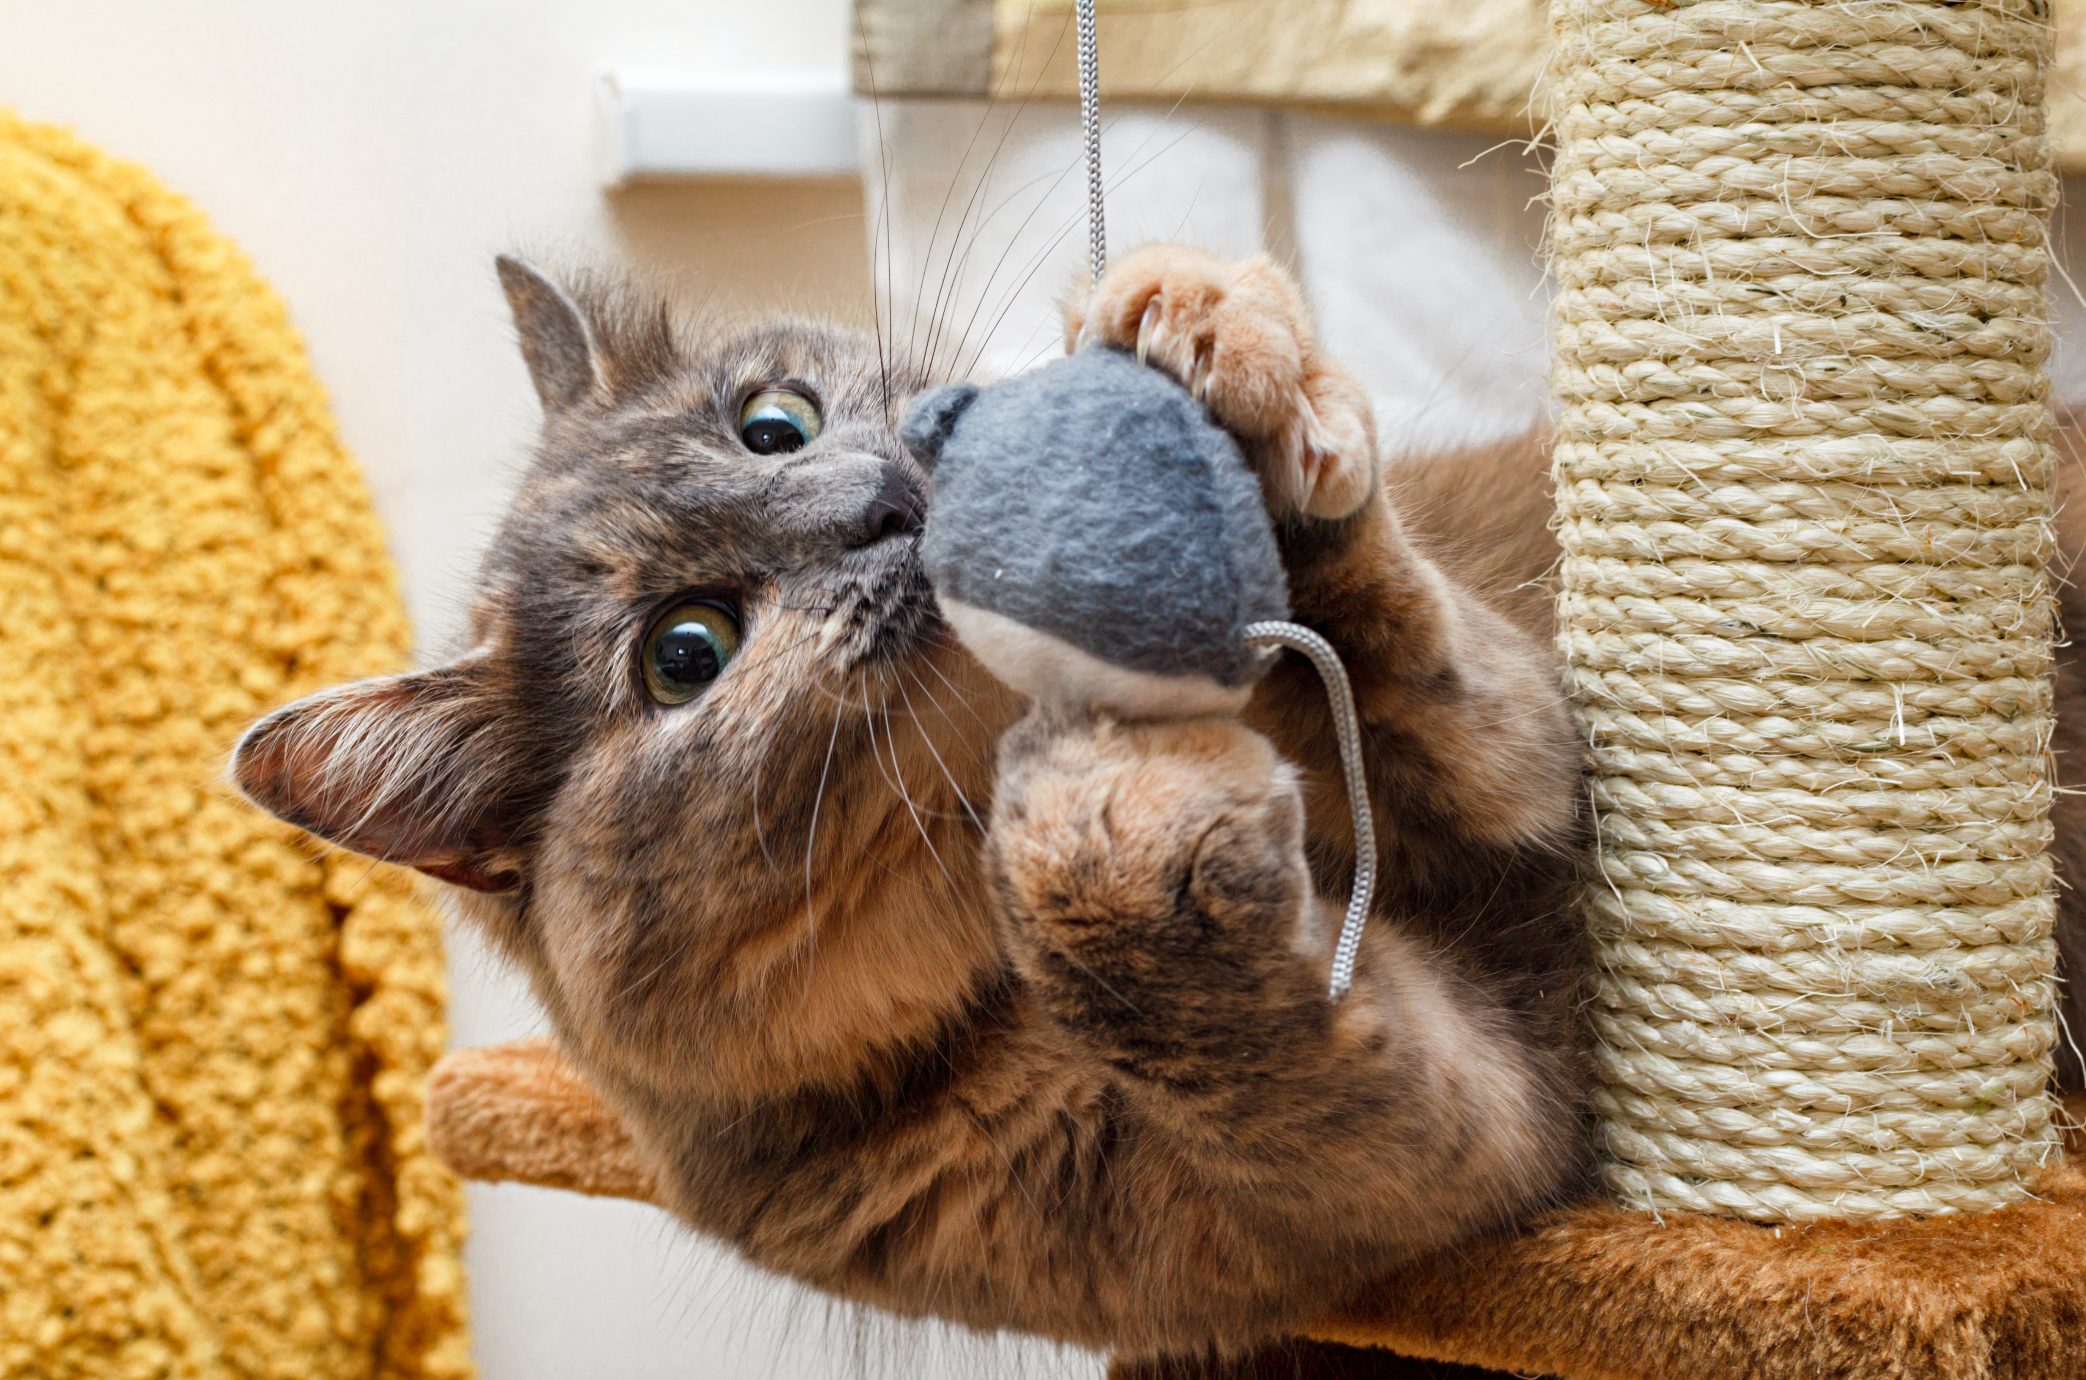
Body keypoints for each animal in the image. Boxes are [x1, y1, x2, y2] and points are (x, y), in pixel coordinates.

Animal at [232, 245, 2086, 1359]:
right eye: (685, 654)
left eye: (770, 423)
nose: (880, 500)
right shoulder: (1415, 1151)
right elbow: (1228, 999)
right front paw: (1103, 827)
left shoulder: (1534, 752)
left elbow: (1444, 679)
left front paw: (1215, 353)